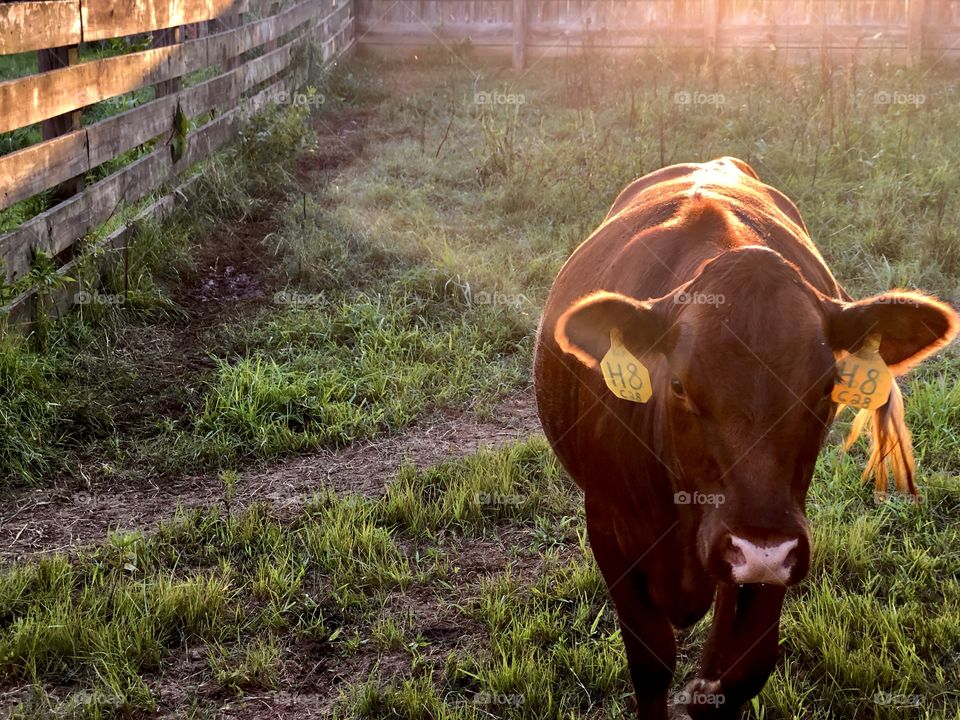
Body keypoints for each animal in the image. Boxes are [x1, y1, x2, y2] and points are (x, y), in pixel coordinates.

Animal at [532, 159, 960, 720]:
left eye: (827, 388)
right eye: (677, 385)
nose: (758, 549)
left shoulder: (785, 536)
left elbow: (743, 670)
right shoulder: (608, 529)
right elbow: (651, 664)